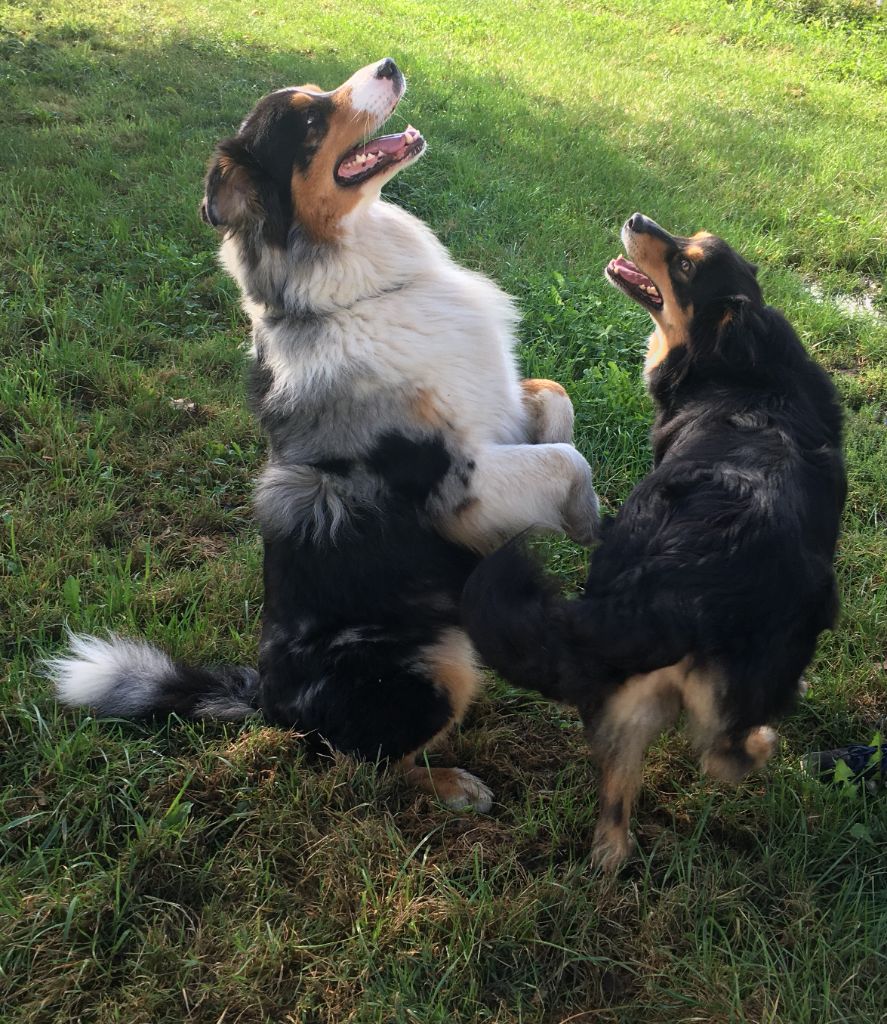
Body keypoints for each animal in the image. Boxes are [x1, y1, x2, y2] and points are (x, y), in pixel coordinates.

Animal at [50, 59, 602, 811]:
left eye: (318, 93)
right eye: (311, 122)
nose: (390, 66)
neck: (358, 284)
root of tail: (268, 703)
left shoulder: (502, 419)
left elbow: (555, 403)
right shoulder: (454, 484)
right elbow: (567, 460)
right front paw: (591, 526)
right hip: (435, 663)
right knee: (362, 762)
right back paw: (452, 786)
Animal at [462, 216, 843, 872]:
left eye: (687, 264)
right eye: (688, 246)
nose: (638, 221)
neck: (745, 372)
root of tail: (675, 583)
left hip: (629, 692)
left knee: (616, 808)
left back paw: (610, 861)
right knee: (722, 751)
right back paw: (765, 739)